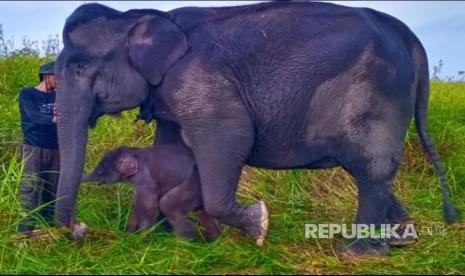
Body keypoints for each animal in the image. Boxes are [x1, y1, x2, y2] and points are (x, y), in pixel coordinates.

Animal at [80, 146, 220, 240]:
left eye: (100, 172)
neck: (135, 152)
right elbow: (137, 207)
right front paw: (128, 235)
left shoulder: (147, 181)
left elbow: (148, 209)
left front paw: (140, 239)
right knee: (202, 213)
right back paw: (212, 241)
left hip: (195, 186)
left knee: (168, 206)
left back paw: (185, 244)